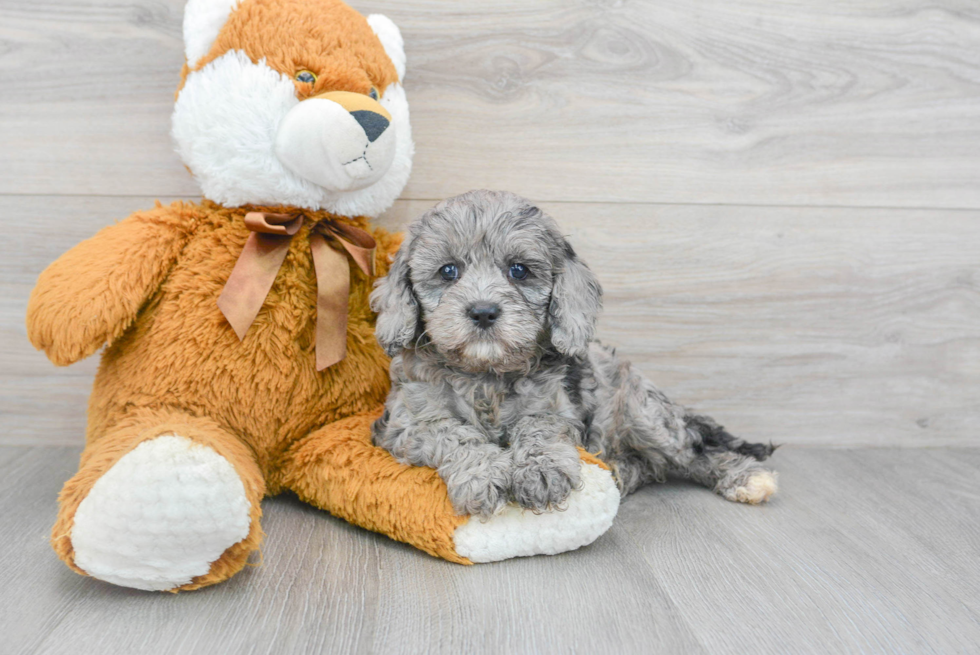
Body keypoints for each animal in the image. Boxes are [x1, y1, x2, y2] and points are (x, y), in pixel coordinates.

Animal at [372, 190, 776, 516]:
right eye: (448, 271)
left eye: (519, 270)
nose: (483, 311)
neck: (485, 373)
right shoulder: (408, 424)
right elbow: (455, 435)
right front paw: (484, 473)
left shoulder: (556, 407)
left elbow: (537, 427)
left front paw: (541, 470)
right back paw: (621, 472)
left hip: (646, 416)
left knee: (695, 450)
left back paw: (746, 478)